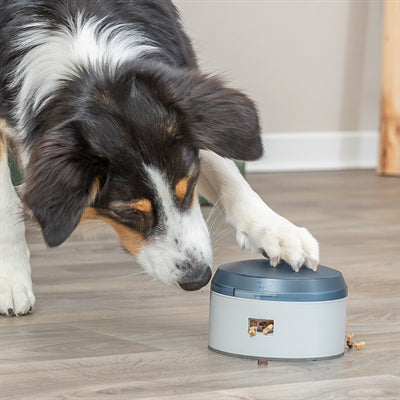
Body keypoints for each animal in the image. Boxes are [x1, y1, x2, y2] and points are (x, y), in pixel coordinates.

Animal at [0, 0, 318, 318]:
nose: (198, 278)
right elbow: (6, 207)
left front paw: (279, 232)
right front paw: (11, 281)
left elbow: (226, 170)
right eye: (129, 212)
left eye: (190, 186)